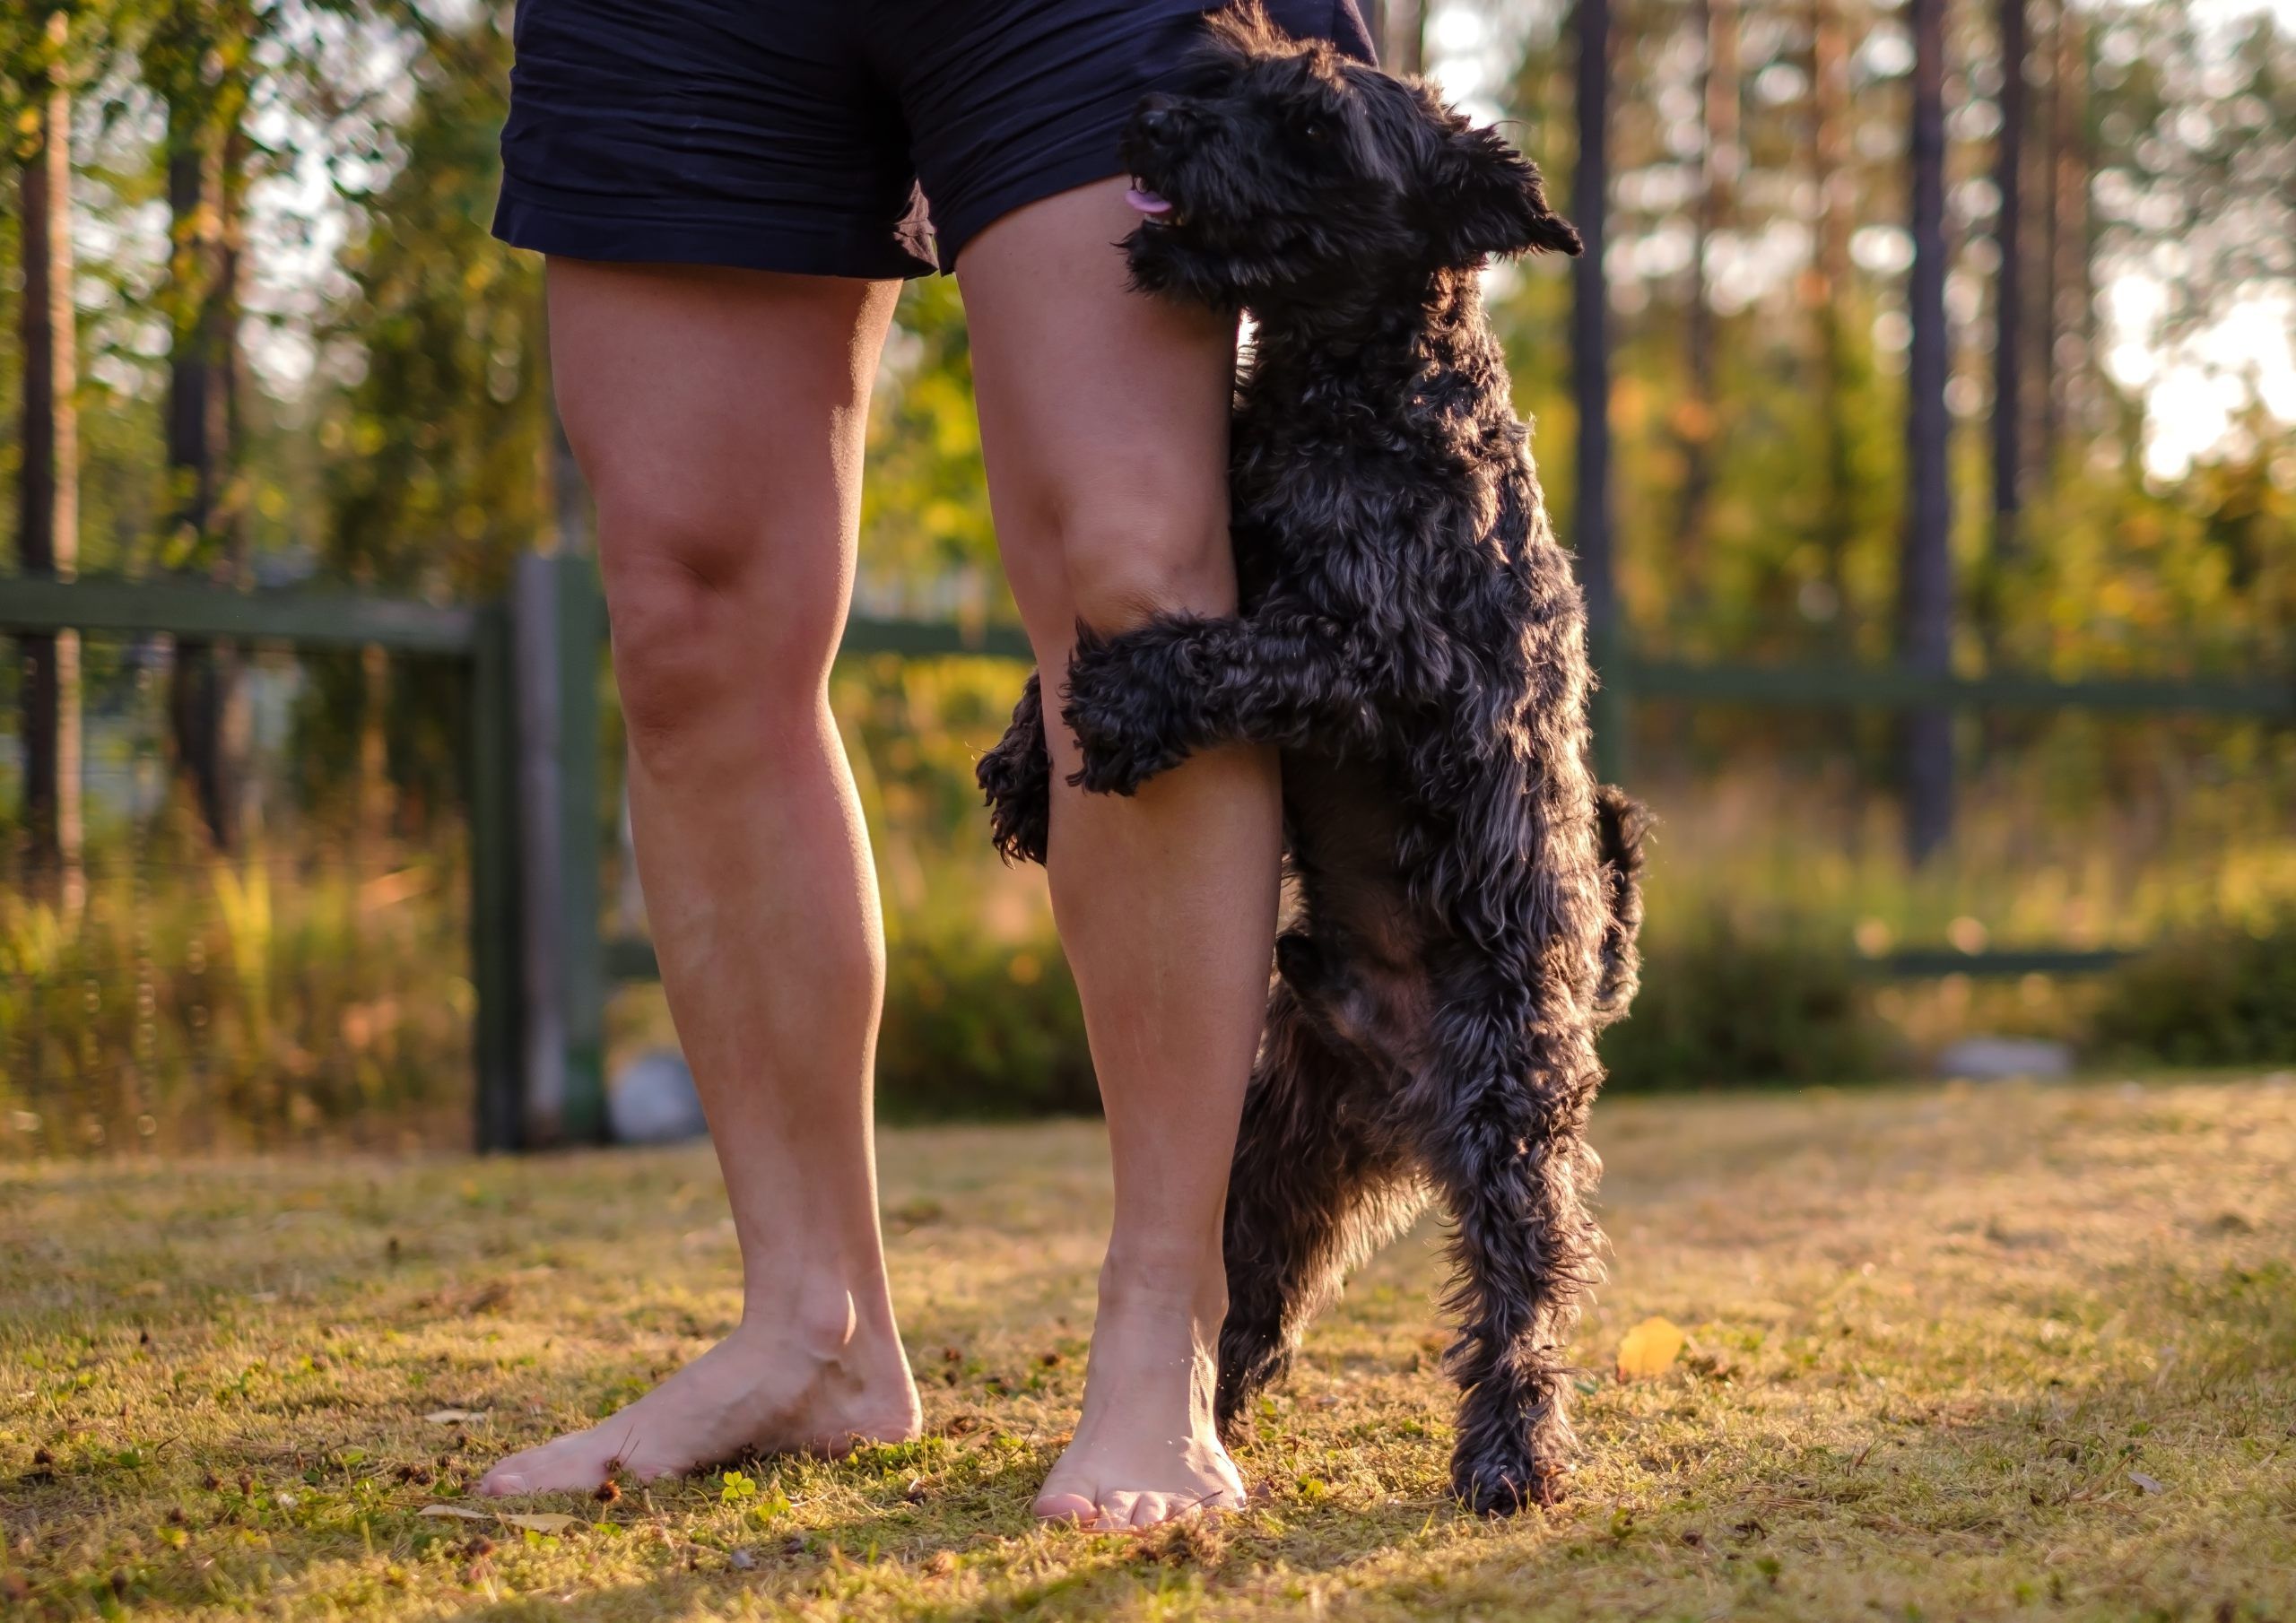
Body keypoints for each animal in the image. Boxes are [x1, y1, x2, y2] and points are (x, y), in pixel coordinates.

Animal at [973, 6, 1653, 1515]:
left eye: (1313, 132)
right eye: (1227, 70)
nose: (1153, 124)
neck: (1348, 384)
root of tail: (1406, 1100)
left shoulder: (1382, 652)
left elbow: (1233, 649)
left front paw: (1118, 702)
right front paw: (1025, 762)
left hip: (1512, 1131)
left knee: (1521, 1303)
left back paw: (1509, 1454)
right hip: (1273, 1158)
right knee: (1257, 1308)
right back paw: (1202, 1424)